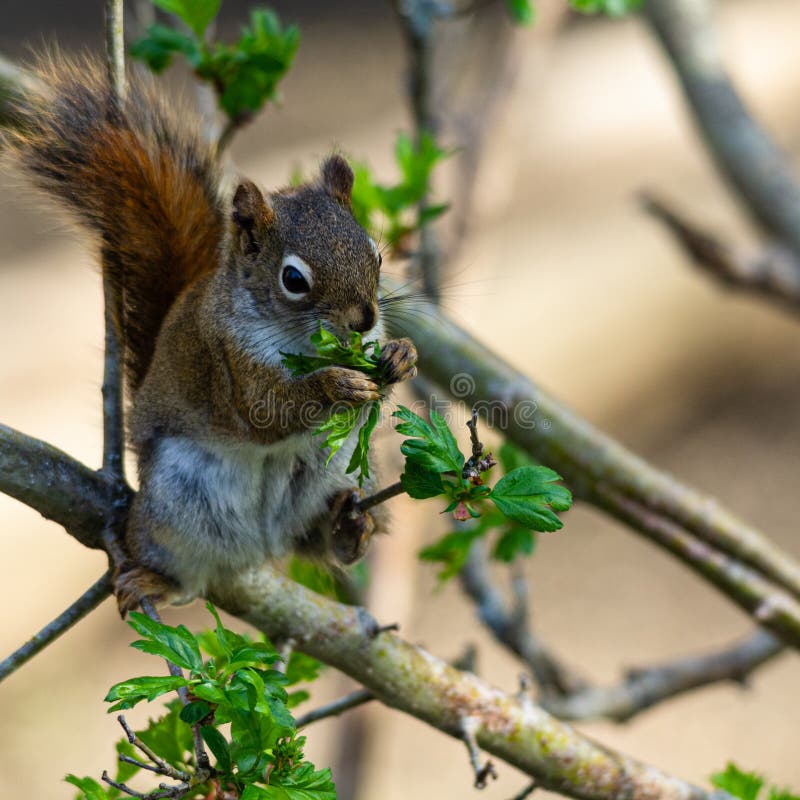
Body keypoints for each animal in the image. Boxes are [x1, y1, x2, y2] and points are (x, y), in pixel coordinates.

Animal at [5, 59, 418, 615]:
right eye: (294, 279)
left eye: (376, 254)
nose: (363, 320)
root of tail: (265, 544)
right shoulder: (229, 362)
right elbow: (266, 412)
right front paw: (336, 386)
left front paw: (401, 355)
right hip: (176, 508)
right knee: (188, 577)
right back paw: (154, 581)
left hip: (342, 471)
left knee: (319, 540)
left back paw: (348, 524)